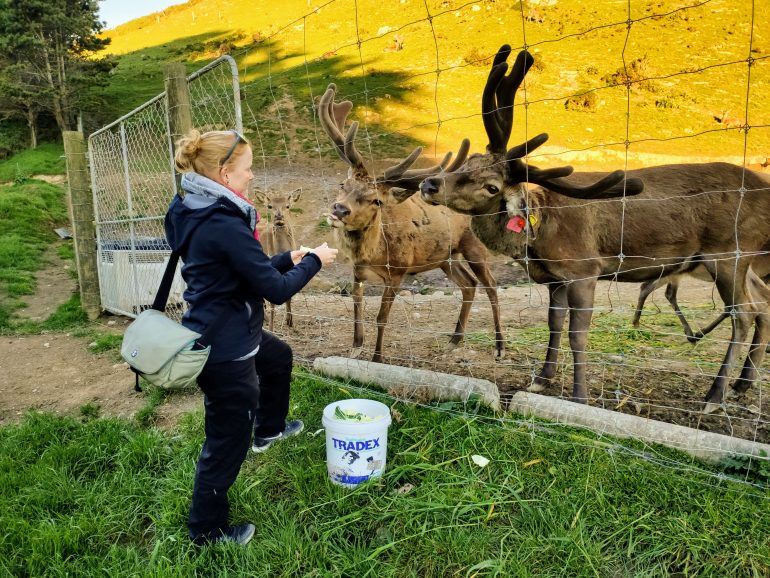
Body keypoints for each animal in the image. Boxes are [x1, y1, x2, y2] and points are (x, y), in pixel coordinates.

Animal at [252, 186, 300, 328]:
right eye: (270, 206)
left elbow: (289, 296)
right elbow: (273, 302)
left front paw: (290, 322)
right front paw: (272, 328)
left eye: (288, 206)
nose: (279, 216)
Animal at [316, 82, 504, 360]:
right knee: (469, 285)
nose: (339, 210)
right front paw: (356, 345)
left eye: (376, 201)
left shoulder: (398, 270)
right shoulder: (357, 269)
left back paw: (500, 345)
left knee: (490, 285)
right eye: (343, 184)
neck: (375, 253)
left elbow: (382, 317)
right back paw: (455, 339)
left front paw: (377, 356)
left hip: (474, 246)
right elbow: (357, 306)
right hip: (445, 256)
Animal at [420, 47, 768, 412]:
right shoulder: (556, 278)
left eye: (491, 186)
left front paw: (579, 395)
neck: (539, 239)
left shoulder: (584, 269)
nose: (429, 184)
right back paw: (741, 384)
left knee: (743, 314)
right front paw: (541, 379)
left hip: (728, 253)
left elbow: (577, 334)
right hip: (740, 262)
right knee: (761, 304)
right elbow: (554, 324)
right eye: (469, 160)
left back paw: (714, 395)